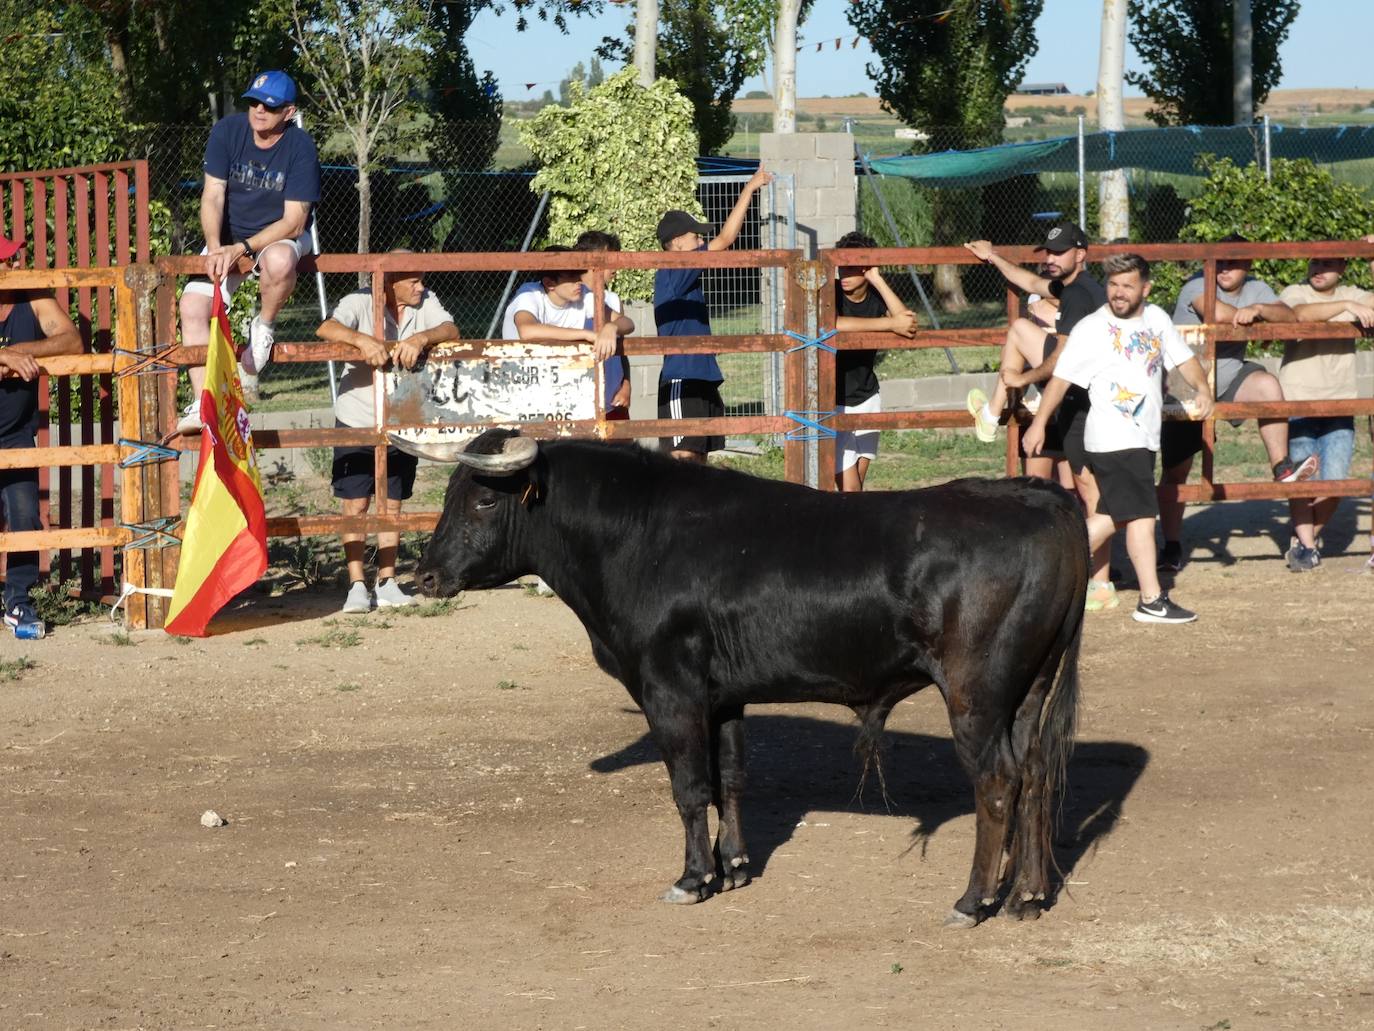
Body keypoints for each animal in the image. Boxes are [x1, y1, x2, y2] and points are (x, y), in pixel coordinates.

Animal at [406, 428, 1082, 929]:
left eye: (485, 500)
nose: (424, 578)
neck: (638, 536)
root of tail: (1038, 499)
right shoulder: (723, 698)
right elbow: (729, 779)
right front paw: (733, 867)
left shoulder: (669, 690)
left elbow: (689, 786)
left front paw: (692, 878)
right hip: (1028, 692)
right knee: (1037, 774)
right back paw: (1026, 897)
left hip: (977, 694)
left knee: (998, 782)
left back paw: (972, 901)